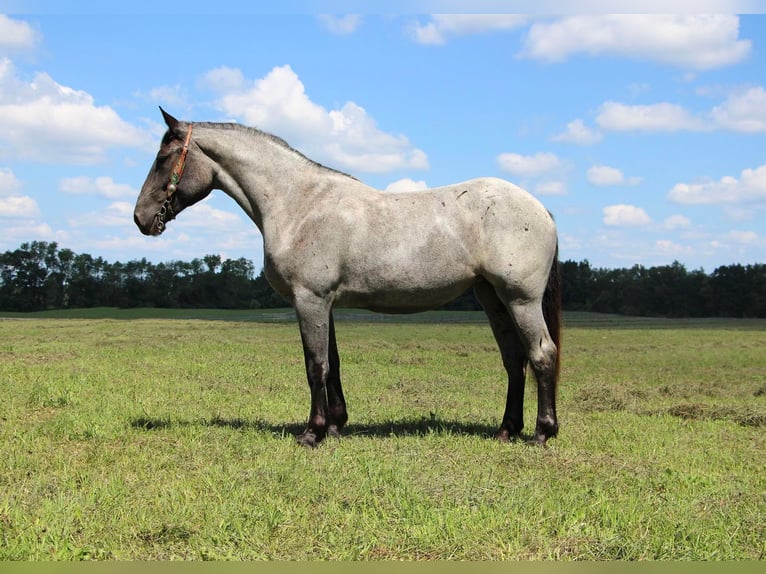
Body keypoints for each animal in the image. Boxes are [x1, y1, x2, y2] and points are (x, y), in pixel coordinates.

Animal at [134, 109, 564, 450]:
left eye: (163, 157)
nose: (140, 218)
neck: (299, 204)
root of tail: (541, 209)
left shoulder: (309, 299)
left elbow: (315, 365)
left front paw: (313, 433)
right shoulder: (325, 302)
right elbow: (333, 363)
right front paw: (336, 425)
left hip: (520, 299)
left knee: (542, 355)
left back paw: (542, 433)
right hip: (492, 298)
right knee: (514, 360)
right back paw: (506, 430)